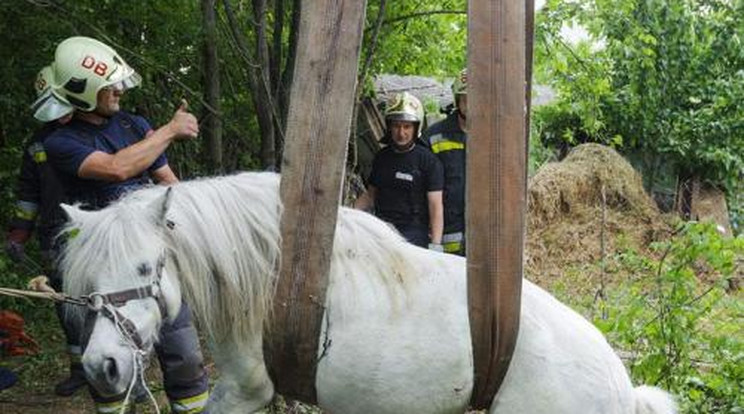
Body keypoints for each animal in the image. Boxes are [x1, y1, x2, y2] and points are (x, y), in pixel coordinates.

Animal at [56, 172, 676, 414]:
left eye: (146, 265)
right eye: (88, 282)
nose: (102, 366)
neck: (270, 275)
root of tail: (622, 385)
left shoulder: (245, 388)